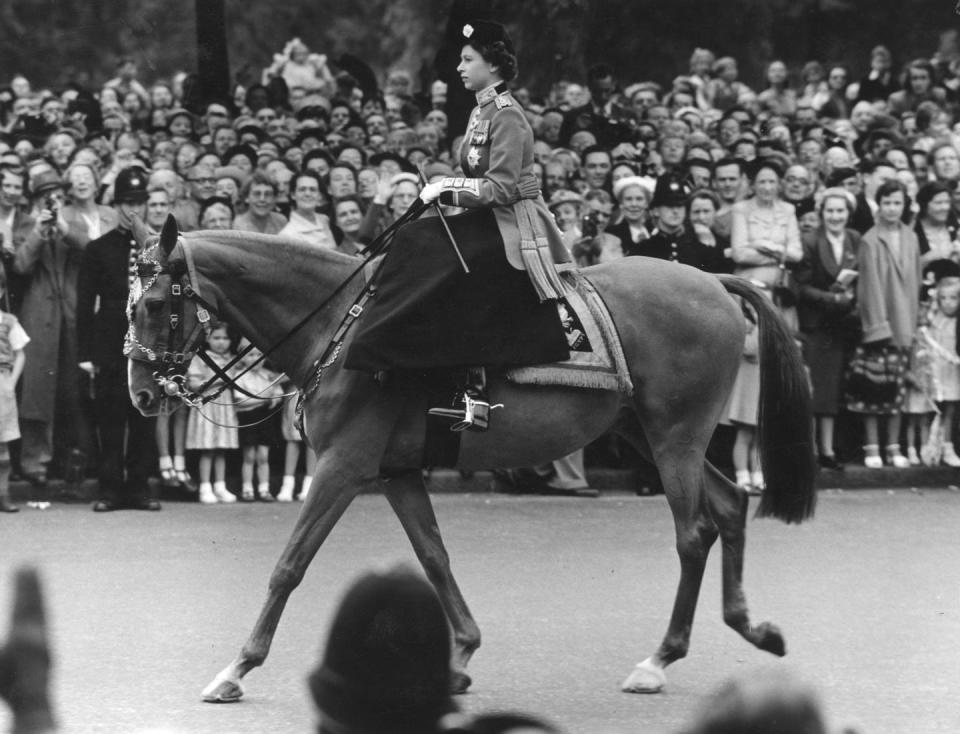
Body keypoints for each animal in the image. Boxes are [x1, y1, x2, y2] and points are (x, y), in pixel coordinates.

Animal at [127, 220, 812, 708]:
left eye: (155, 304)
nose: (141, 395)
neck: (340, 328)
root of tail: (712, 280)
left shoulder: (344, 467)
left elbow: (289, 566)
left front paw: (238, 667)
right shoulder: (395, 473)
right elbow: (434, 556)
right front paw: (462, 655)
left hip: (675, 439)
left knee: (694, 533)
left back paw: (660, 659)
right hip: (652, 434)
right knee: (729, 507)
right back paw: (749, 626)